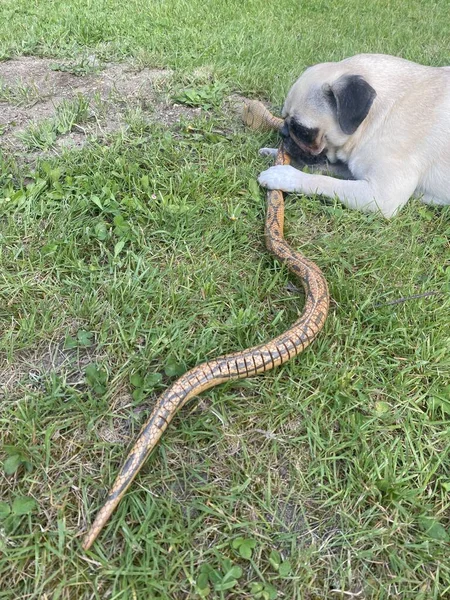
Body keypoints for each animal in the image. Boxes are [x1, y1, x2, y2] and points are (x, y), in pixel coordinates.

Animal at [256, 54, 450, 218]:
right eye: (284, 119)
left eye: (303, 131)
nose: (283, 132)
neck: (376, 118)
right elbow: (321, 166)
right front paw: (274, 153)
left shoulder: (381, 195)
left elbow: (324, 180)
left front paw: (284, 175)